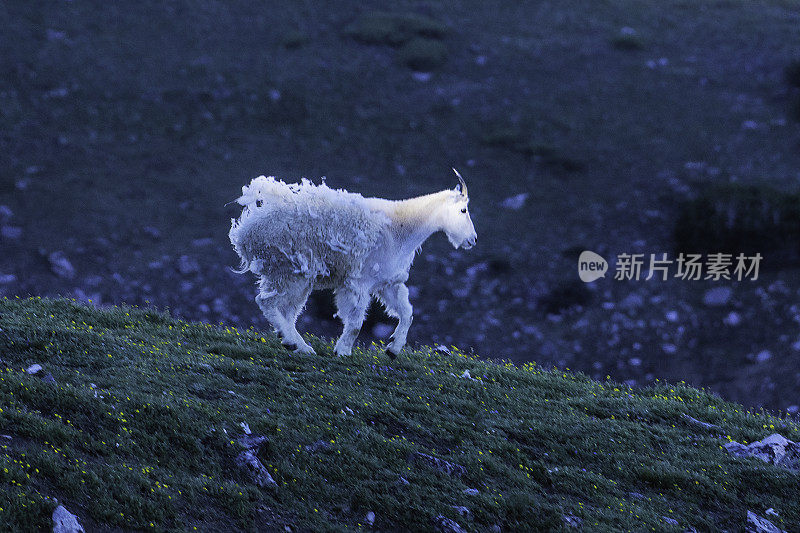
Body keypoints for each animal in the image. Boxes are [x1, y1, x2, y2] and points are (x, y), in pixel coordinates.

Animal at [227, 170, 476, 358]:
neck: (400, 229)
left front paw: (393, 349)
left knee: (287, 310)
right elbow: (356, 322)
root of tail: (246, 229)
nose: (472, 240)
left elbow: (407, 313)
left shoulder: (387, 283)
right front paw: (343, 350)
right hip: (288, 271)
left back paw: (294, 343)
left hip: (295, 278)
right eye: (463, 210)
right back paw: (297, 344)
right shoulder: (359, 283)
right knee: (267, 302)